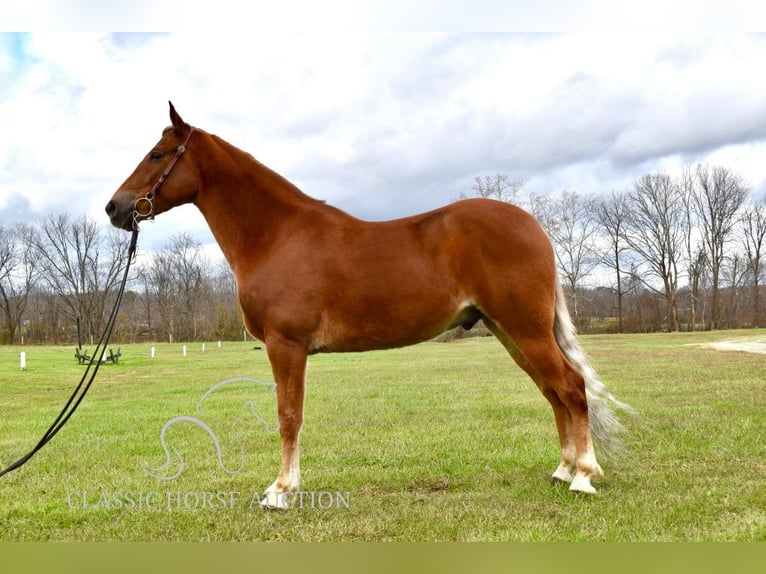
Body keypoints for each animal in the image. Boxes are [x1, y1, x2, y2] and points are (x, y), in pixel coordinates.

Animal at [106, 103, 632, 508]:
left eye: (157, 154)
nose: (115, 208)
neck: (277, 235)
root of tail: (533, 227)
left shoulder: (285, 345)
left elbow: (288, 415)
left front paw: (282, 491)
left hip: (526, 330)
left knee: (570, 386)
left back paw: (583, 476)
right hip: (511, 332)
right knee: (554, 392)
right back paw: (563, 470)